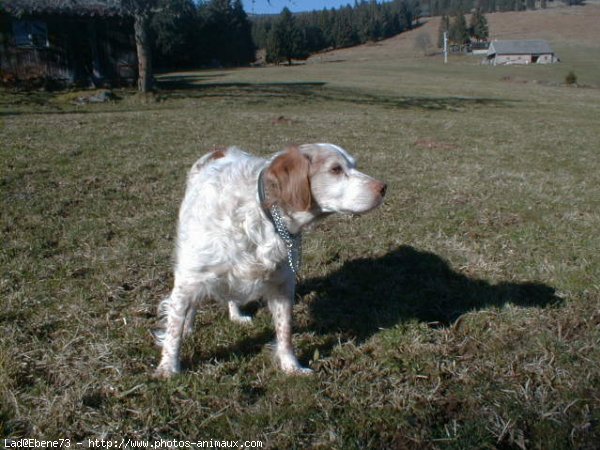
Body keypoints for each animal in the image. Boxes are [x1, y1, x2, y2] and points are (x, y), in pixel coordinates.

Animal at [155, 143, 386, 376]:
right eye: (335, 169)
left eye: (354, 165)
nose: (383, 187)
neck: (263, 213)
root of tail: (220, 150)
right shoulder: (189, 278)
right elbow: (174, 330)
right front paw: (168, 368)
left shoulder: (282, 282)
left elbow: (285, 331)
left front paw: (291, 366)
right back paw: (189, 327)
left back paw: (236, 315)